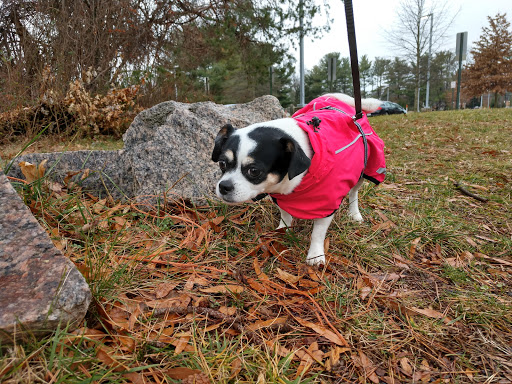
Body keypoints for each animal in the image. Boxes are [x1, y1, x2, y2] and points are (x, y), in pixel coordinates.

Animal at [211, 94, 384, 266]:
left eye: (254, 171)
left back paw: (354, 214)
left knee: (353, 193)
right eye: (222, 163)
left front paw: (315, 255)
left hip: (362, 170)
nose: (223, 186)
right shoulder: (280, 197)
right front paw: (283, 230)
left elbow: (317, 233)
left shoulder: (327, 204)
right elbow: (285, 215)